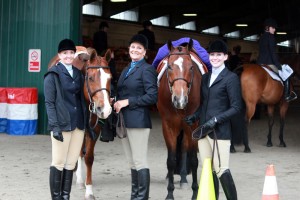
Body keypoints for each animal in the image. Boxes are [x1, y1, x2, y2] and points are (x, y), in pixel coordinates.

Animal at [48, 46, 113, 200]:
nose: (105, 109)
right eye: (90, 78)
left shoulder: (94, 130)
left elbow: (88, 157)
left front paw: (89, 190)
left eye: (110, 78)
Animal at [156, 39, 207, 200]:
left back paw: (184, 178)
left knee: (184, 148)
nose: (180, 99)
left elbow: (194, 160)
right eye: (169, 67)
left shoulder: (193, 126)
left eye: (191, 68)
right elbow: (171, 161)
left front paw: (195, 192)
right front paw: (169, 193)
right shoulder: (168, 126)